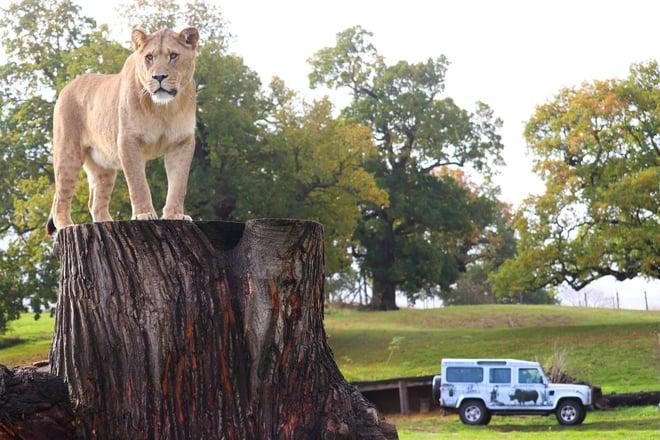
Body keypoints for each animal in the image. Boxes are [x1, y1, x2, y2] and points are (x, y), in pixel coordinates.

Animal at [46, 27, 200, 235]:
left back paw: (107, 224)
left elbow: (178, 184)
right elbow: (138, 183)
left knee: (95, 202)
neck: (163, 108)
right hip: (67, 154)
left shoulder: (182, 142)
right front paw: (144, 214)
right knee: (60, 199)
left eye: (174, 56)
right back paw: (67, 226)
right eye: (149, 57)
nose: (159, 77)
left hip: (103, 166)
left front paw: (175, 215)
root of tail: (65, 88)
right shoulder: (128, 140)